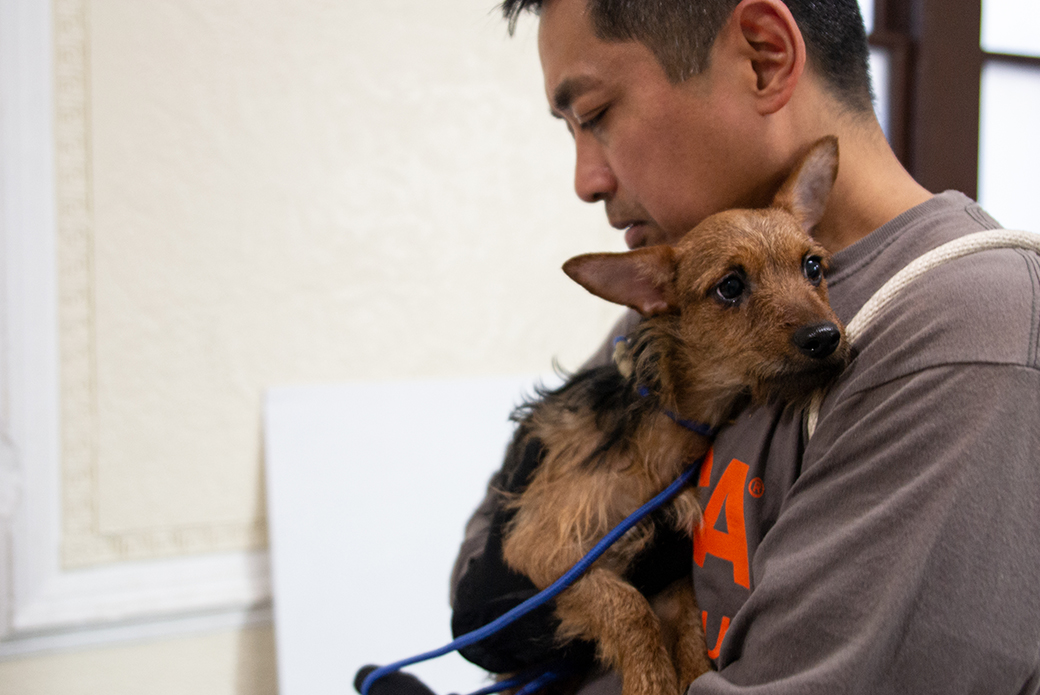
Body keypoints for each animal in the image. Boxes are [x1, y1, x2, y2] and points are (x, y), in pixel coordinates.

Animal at [490, 135, 848, 695]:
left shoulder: (669, 560)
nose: (825, 338)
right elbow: (624, 605)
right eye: (730, 287)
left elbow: (686, 619)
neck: (670, 418)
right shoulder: (547, 551)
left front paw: (687, 667)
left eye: (813, 267)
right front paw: (649, 678)